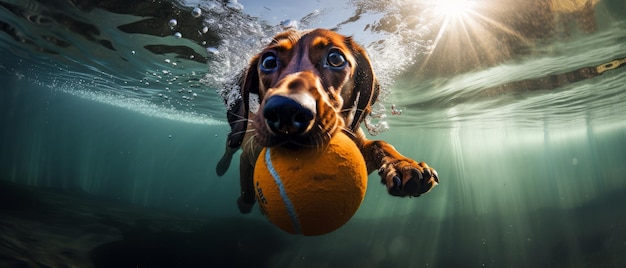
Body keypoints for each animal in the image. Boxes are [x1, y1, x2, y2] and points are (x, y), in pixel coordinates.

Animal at [217, 28, 436, 214]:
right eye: (268, 61)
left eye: (335, 58)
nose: (286, 111)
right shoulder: (247, 156)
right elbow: (247, 192)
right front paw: (248, 203)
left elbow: (380, 144)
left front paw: (403, 164)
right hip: (237, 136)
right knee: (229, 147)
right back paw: (221, 167)